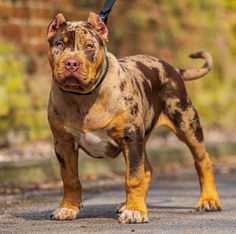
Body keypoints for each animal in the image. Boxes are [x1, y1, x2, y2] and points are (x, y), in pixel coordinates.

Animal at [47, 12, 222, 223]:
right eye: (59, 44)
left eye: (89, 46)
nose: (71, 63)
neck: (83, 97)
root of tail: (172, 68)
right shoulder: (64, 144)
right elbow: (70, 178)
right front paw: (68, 208)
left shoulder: (130, 138)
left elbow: (133, 177)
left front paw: (135, 211)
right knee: (147, 169)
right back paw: (129, 204)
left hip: (186, 123)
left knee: (202, 160)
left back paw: (209, 200)